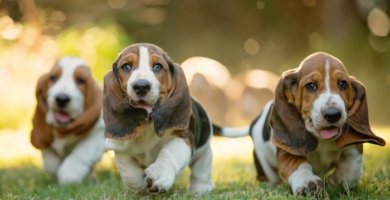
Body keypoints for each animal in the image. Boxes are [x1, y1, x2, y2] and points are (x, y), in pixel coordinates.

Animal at [31, 56, 105, 184]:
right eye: (53, 77)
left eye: (81, 80)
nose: (62, 99)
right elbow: (49, 158)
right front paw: (54, 167)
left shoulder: (98, 137)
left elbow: (81, 153)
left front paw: (69, 174)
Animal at [103, 43, 213, 195]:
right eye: (126, 67)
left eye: (157, 66)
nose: (141, 86)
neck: (148, 124)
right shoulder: (121, 149)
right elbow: (129, 173)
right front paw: (140, 188)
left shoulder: (182, 137)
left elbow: (168, 153)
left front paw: (159, 175)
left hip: (204, 150)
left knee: (201, 168)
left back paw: (200, 188)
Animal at [216, 52, 386, 196]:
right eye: (311, 86)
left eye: (343, 84)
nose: (333, 114)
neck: (322, 140)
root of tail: (253, 123)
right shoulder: (287, 150)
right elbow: (298, 164)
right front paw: (307, 183)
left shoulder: (354, 148)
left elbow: (352, 169)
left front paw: (336, 181)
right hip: (264, 165)